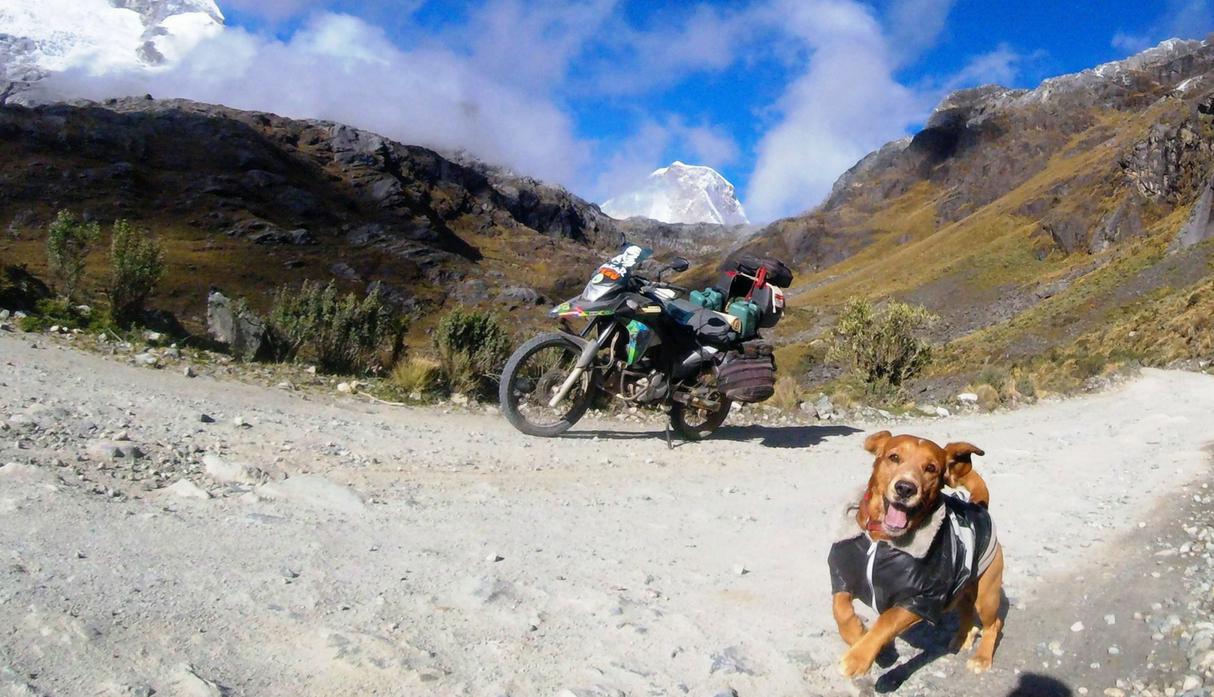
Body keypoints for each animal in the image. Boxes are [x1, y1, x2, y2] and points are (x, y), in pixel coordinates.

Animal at [825, 432, 1005, 680]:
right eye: (894, 457)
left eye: (931, 468)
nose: (905, 488)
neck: (882, 540)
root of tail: (979, 506)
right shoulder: (843, 575)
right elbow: (840, 608)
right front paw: (856, 634)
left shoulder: (921, 600)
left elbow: (886, 622)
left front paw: (858, 657)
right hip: (961, 592)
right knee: (967, 613)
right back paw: (963, 638)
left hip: (986, 594)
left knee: (993, 624)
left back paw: (982, 658)